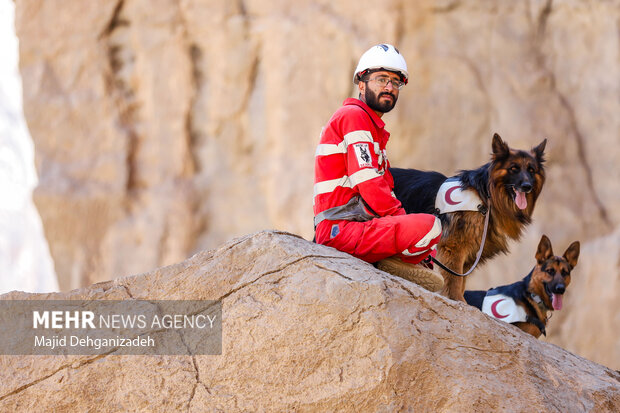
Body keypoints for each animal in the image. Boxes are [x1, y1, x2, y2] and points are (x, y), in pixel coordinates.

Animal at [392, 134, 548, 300]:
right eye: (513, 168)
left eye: (531, 170)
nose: (527, 186)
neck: (485, 196)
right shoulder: (454, 248)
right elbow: (455, 281)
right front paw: (457, 300)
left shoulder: (469, 256)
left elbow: (461, 283)